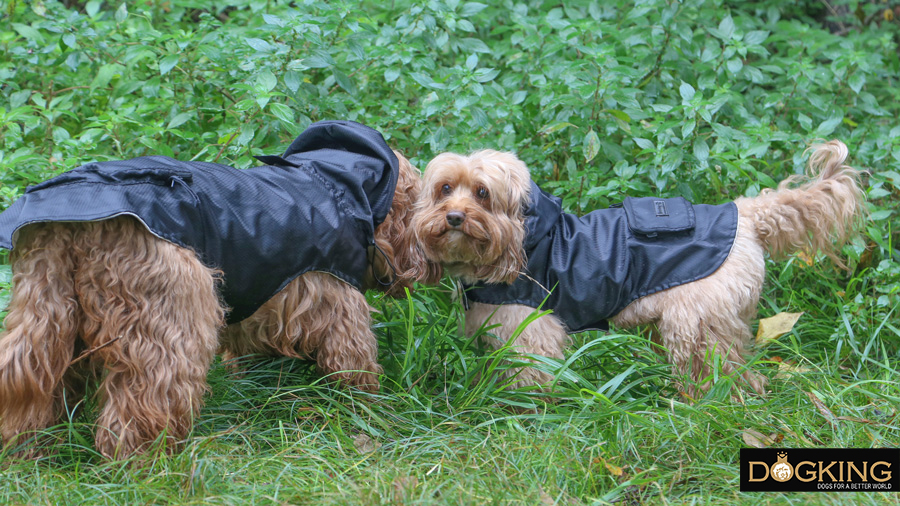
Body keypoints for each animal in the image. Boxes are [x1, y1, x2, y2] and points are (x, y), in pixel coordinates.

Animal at [0, 148, 428, 460]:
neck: (336, 182)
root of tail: (77, 221)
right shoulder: (340, 311)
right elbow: (355, 370)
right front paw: (366, 413)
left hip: (44, 311)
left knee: (28, 386)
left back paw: (29, 453)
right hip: (168, 326)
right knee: (143, 405)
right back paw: (147, 465)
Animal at [410, 141, 864, 396]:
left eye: (482, 193)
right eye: (445, 189)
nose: (453, 217)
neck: (525, 238)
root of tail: (746, 213)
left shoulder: (532, 331)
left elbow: (531, 376)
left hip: (695, 326)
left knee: (721, 371)